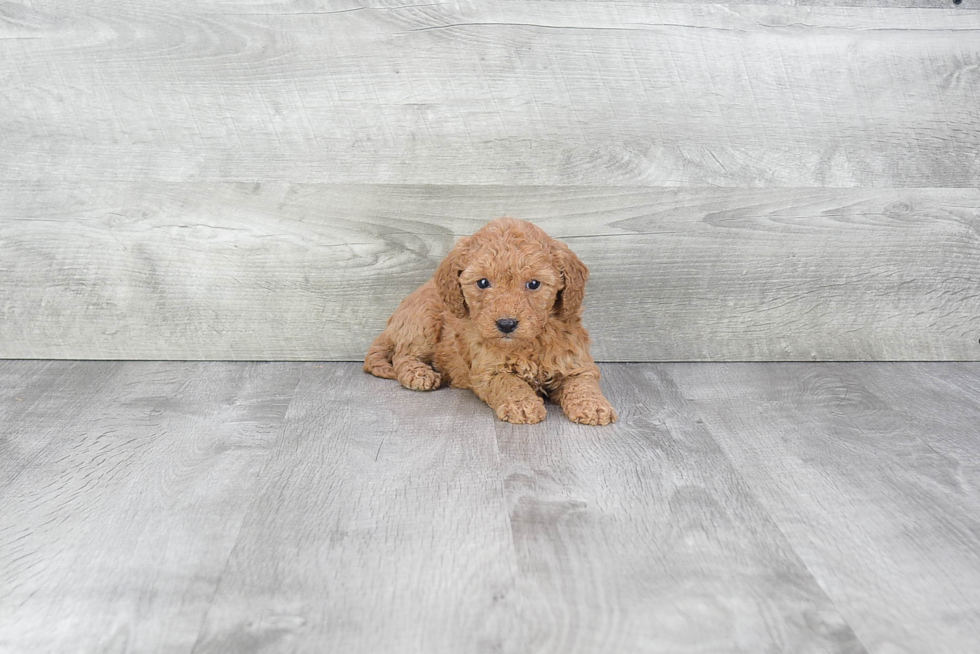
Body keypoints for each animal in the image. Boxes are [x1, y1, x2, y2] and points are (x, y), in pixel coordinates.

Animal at [364, 218, 616, 428]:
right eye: (483, 282)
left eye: (534, 284)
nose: (506, 324)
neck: (528, 344)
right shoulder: (488, 370)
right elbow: (509, 382)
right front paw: (523, 405)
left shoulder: (577, 363)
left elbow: (583, 383)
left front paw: (594, 406)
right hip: (424, 321)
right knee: (403, 355)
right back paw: (419, 374)